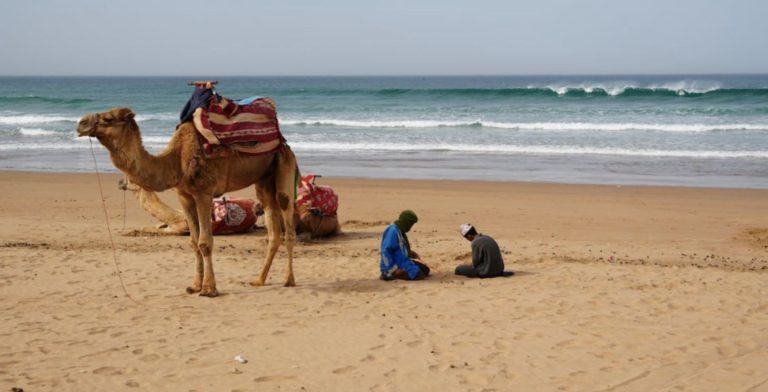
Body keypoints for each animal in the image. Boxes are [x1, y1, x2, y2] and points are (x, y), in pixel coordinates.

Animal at [76, 107, 296, 298]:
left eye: (108, 118)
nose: (81, 124)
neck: (176, 160)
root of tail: (284, 143)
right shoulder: (184, 196)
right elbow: (193, 242)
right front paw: (194, 286)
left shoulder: (204, 193)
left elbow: (205, 242)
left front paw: (209, 289)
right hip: (264, 179)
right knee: (273, 228)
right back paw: (259, 280)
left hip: (284, 165)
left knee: (287, 221)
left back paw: (289, 280)